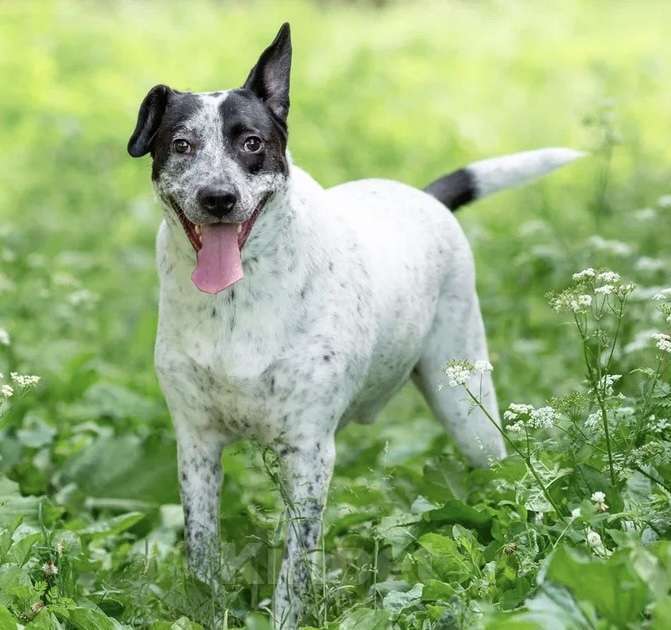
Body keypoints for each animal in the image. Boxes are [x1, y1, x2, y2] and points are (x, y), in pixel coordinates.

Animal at [127, 22, 584, 628]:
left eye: (252, 143)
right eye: (181, 145)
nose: (218, 198)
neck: (236, 299)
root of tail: (425, 197)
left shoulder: (309, 451)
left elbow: (294, 570)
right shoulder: (197, 444)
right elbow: (203, 550)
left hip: (467, 409)